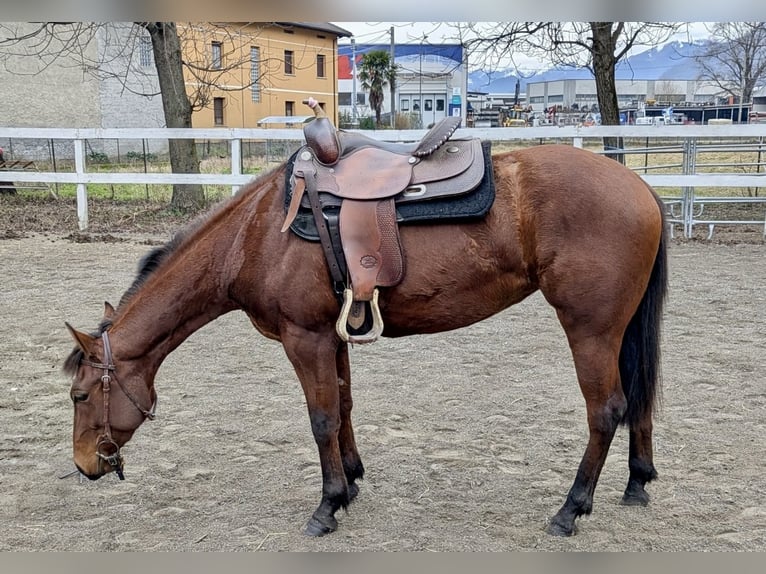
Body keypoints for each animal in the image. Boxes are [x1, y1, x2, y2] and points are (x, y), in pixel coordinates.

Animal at [63, 129, 668, 538]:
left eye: (80, 395)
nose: (85, 466)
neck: (255, 234)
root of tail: (638, 185)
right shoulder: (332, 336)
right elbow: (345, 405)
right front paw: (351, 481)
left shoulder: (304, 338)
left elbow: (322, 418)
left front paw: (328, 505)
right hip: (618, 329)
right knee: (637, 400)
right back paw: (637, 482)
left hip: (590, 329)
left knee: (606, 410)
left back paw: (571, 509)